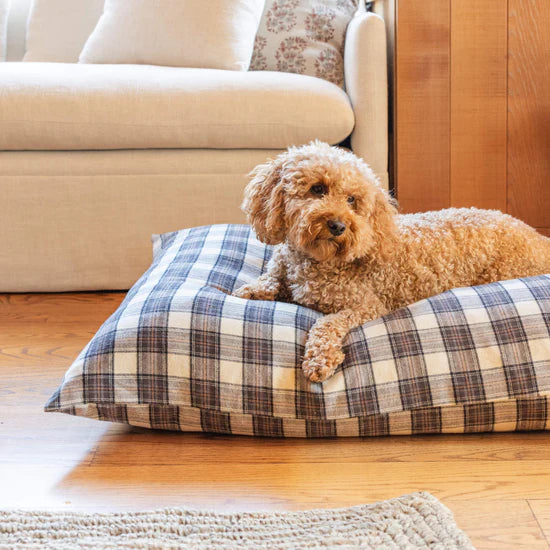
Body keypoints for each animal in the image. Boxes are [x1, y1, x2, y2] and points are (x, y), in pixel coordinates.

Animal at [233, 141, 550, 384]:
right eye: (318, 189)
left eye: (352, 200)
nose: (338, 225)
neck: (314, 260)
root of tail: (538, 238)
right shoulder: (281, 269)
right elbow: (267, 280)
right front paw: (247, 291)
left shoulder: (366, 306)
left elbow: (327, 323)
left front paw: (319, 360)